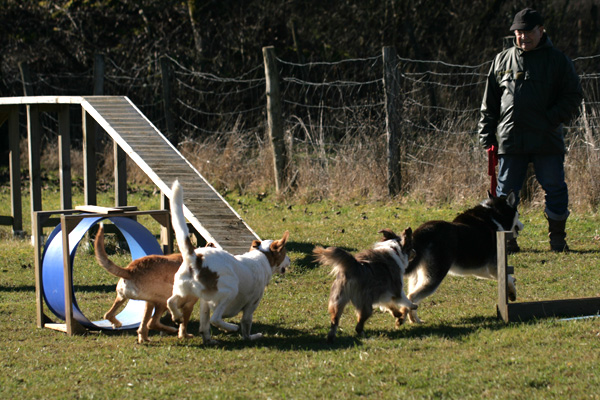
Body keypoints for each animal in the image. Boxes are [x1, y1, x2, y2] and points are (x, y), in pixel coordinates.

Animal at [166, 180, 290, 346]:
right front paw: (251, 337)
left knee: (172, 303)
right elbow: (246, 326)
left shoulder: (205, 303)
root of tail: (195, 258)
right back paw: (231, 327)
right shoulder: (252, 304)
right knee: (215, 319)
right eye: (284, 253)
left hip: (186, 292)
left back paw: (181, 320)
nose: (290, 260)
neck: (262, 255)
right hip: (230, 290)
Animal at [400, 192, 524, 324]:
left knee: (412, 296)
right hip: (434, 277)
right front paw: (512, 293)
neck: (494, 215)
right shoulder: (493, 267)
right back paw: (412, 319)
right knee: (412, 296)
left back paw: (415, 320)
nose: (523, 225)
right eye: (518, 213)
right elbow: (508, 278)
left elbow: (508, 277)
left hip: (417, 275)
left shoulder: (482, 270)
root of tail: (423, 230)